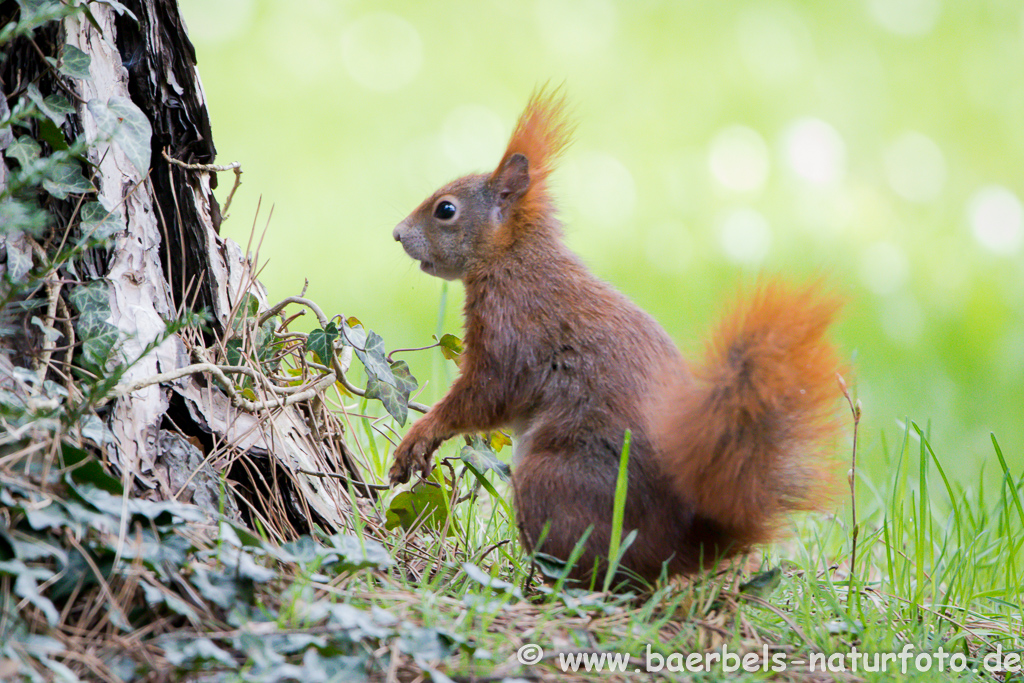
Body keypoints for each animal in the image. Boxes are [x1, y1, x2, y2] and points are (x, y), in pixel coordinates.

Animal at [387, 88, 843, 585]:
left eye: (446, 210)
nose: (397, 234)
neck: (515, 259)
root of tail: (677, 549)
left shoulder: (514, 327)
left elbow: (486, 395)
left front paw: (421, 434)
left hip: (551, 482)